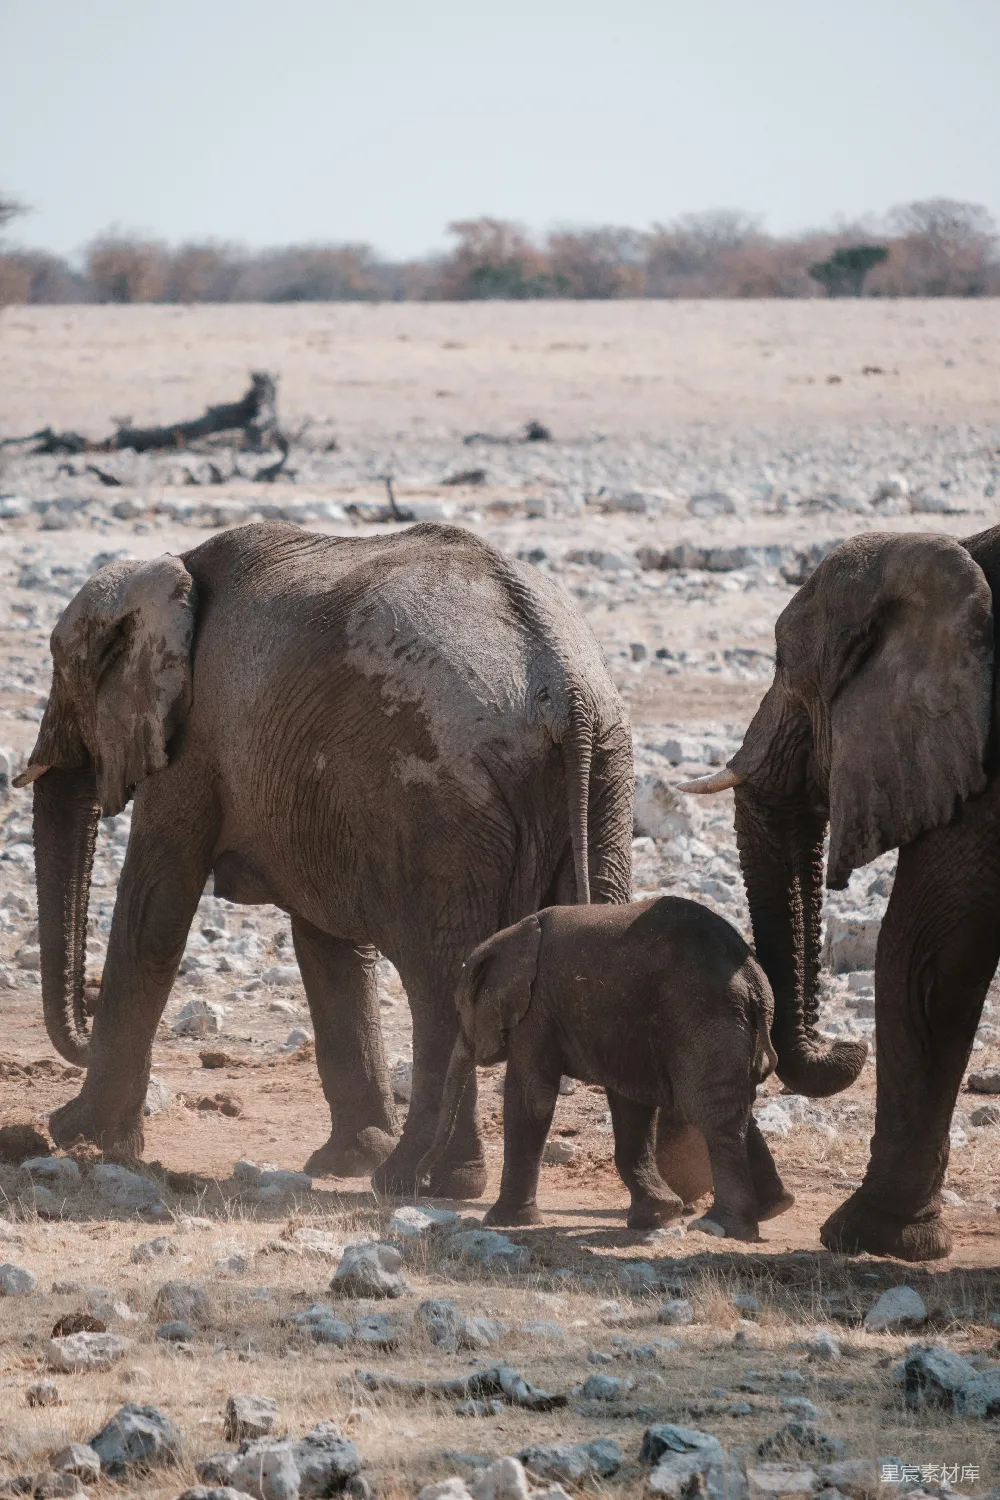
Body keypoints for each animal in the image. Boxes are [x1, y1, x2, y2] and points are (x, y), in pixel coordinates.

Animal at [13, 520, 634, 1196]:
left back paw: (415, 1181)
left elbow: (154, 913)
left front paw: (79, 1137)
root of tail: (565, 693)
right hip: (603, 782)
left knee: (441, 979)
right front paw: (343, 1162)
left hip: (439, 804)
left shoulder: (196, 742)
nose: (87, 997)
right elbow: (327, 946)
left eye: (60, 669)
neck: (171, 570)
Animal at [419, 896, 793, 1238]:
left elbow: (532, 1097)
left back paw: (721, 1226)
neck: (512, 934)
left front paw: (502, 1222)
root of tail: (753, 981)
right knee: (734, 1105)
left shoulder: (536, 1010)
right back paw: (774, 1206)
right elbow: (632, 1104)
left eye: (459, 1011)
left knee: (709, 1110)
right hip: (727, 1024)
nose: (419, 1186)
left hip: (704, 1015)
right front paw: (658, 1216)